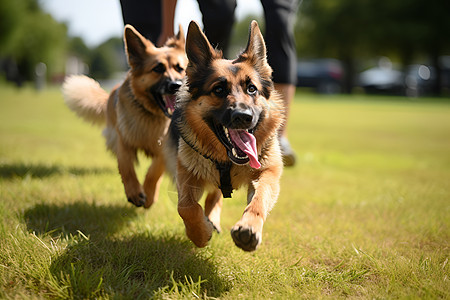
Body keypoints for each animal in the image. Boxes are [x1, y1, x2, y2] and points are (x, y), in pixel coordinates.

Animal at [62, 24, 186, 209]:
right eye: (158, 69)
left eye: (180, 68)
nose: (176, 85)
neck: (150, 115)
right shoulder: (123, 141)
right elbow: (126, 167)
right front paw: (134, 192)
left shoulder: (165, 150)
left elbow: (154, 171)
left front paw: (149, 195)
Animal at [165, 21, 284, 251]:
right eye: (219, 89)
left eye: (252, 89)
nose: (243, 117)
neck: (227, 161)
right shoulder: (187, 175)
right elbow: (186, 206)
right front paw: (200, 233)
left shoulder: (267, 173)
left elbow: (259, 200)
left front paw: (248, 228)